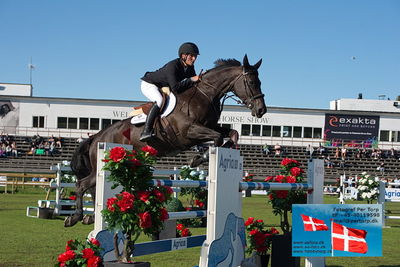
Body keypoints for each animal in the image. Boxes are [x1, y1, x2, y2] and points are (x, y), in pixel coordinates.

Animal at [65, 55, 266, 227]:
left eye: (259, 82)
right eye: (251, 82)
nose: (261, 110)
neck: (205, 93)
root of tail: (97, 137)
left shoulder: (210, 126)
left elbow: (232, 133)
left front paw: (213, 152)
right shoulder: (189, 131)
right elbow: (216, 138)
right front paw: (197, 159)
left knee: (91, 186)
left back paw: (90, 217)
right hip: (104, 162)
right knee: (82, 184)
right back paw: (75, 217)